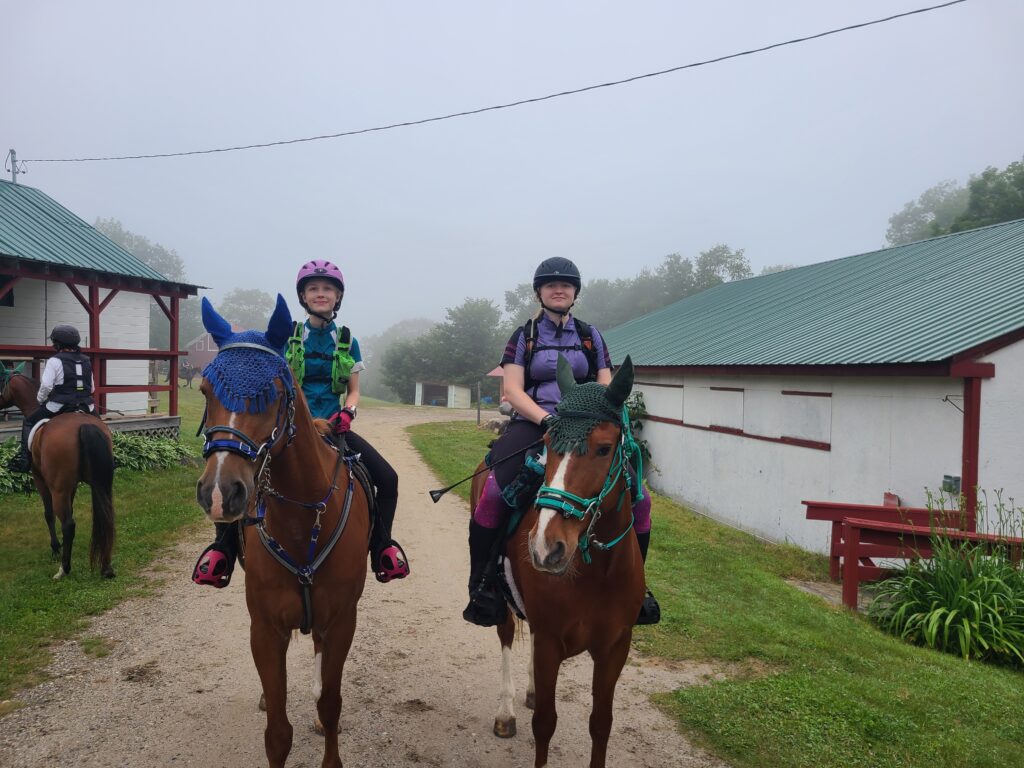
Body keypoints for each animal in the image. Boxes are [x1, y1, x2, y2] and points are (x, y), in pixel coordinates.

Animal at [0, 364, 116, 581]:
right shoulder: (71, 486)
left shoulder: (41, 480)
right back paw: (106, 567)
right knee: (106, 516)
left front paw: (55, 548)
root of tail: (84, 424)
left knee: (68, 524)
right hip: (101, 484)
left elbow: (49, 514)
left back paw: (64, 568)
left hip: (57, 487)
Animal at [193, 296, 370, 768]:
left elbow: (330, 704)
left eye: (272, 392)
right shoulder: (266, 628)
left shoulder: (342, 621)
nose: (220, 493)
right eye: (205, 390)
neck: (301, 520)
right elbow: (277, 731)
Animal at [468, 356, 643, 768]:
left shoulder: (615, 648)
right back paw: (506, 713)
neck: (598, 574)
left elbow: (601, 724)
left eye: (604, 448)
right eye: (547, 443)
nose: (546, 548)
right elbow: (545, 724)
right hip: (500, 597)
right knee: (505, 635)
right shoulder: (550, 643)